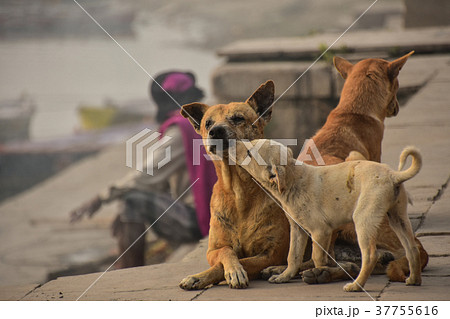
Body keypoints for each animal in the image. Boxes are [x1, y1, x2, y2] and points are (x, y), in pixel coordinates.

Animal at [178, 81, 290, 292]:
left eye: (238, 118)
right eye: (208, 123)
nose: (216, 131)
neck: (238, 191)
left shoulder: (271, 253)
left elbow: (242, 261)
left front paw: (234, 272)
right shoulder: (212, 250)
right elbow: (225, 251)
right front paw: (200, 276)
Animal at [234, 141, 424, 292]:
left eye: (250, 153)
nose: (230, 142)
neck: (292, 178)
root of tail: (393, 175)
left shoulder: (320, 231)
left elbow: (317, 258)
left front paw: (320, 273)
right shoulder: (298, 229)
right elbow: (293, 256)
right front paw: (284, 276)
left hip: (364, 220)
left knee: (370, 256)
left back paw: (356, 286)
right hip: (398, 218)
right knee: (412, 249)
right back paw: (414, 280)